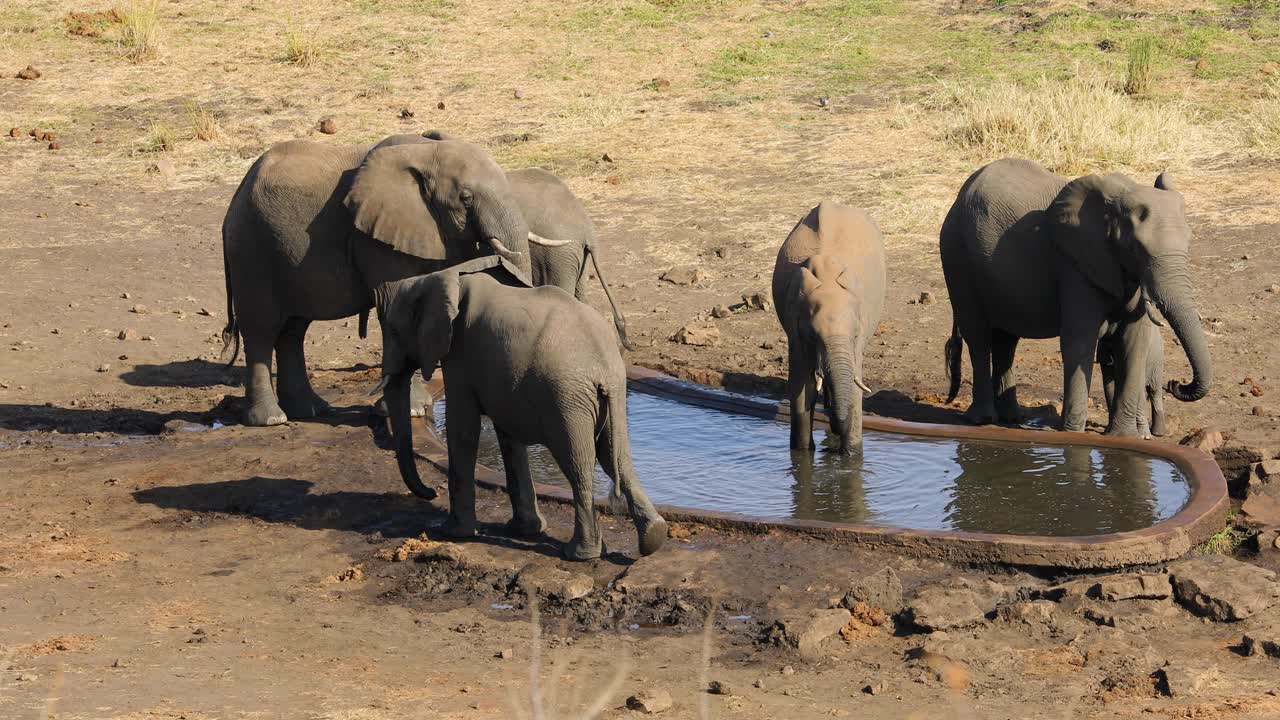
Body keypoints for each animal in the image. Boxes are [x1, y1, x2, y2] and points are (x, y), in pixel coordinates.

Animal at [376, 255, 667, 561]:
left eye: (392, 330)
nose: (432, 491)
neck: (444, 277)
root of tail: (602, 363)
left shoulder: (459, 354)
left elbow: (463, 429)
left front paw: (453, 532)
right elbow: (508, 436)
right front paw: (524, 530)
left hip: (567, 396)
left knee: (578, 462)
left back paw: (579, 553)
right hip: (612, 391)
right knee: (615, 456)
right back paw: (652, 538)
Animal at [772, 201, 886, 454]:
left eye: (855, 334)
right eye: (814, 336)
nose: (835, 424)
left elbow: (854, 388)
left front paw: (851, 455)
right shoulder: (796, 326)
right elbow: (801, 386)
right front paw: (803, 453)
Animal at [939, 158, 1211, 436]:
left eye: (1189, 242)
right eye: (1136, 248)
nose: (1177, 383)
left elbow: (1134, 342)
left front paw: (1123, 437)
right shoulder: (1075, 262)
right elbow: (1079, 338)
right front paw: (1072, 433)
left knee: (1006, 339)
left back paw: (1011, 418)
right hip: (955, 252)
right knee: (978, 335)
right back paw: (982, 419)